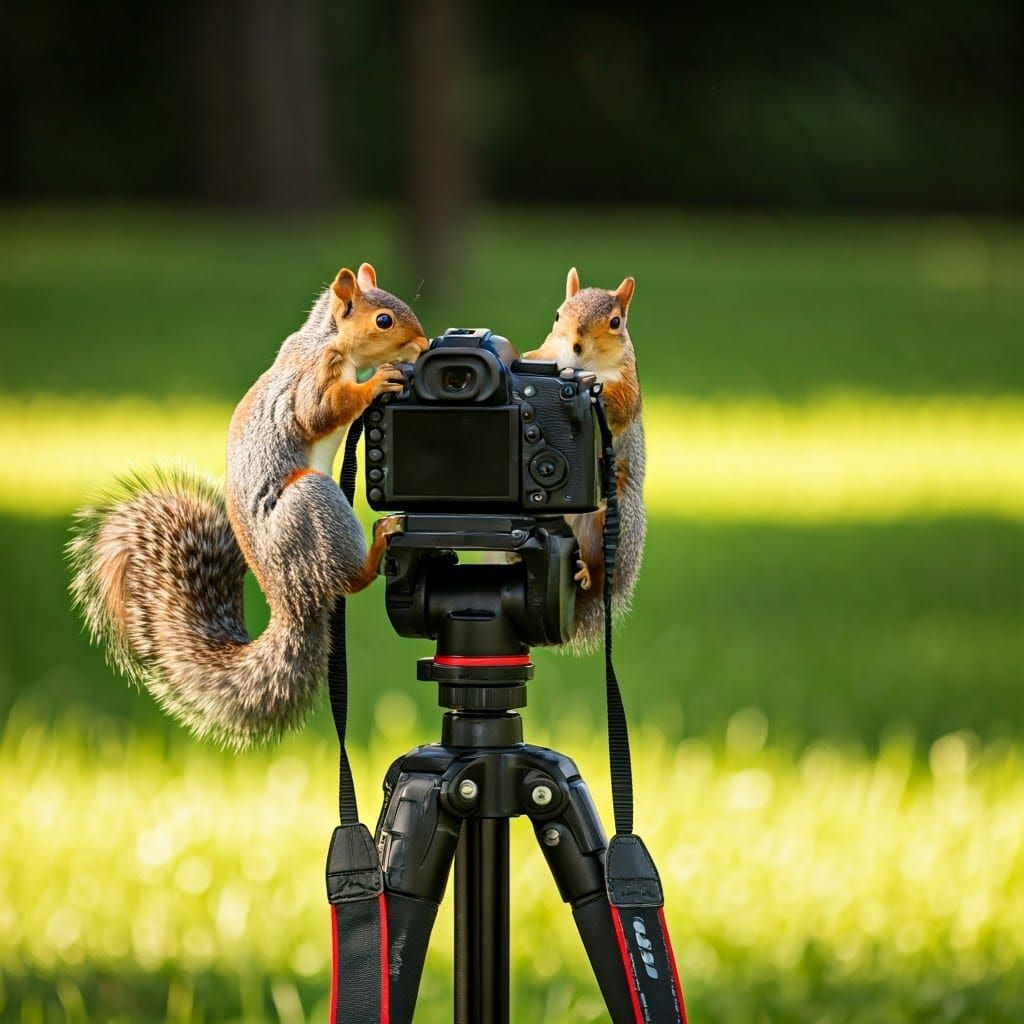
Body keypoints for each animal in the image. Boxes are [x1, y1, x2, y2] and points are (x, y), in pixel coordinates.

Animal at [68, 263, 428, 747]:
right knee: (352, 581)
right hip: (310, 501)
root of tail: (291, 599)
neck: (324, 339)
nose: (423, 344)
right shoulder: (313, 377)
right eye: (384, 320)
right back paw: (380, 538)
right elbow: (318, 412)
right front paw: (379, 381)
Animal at [524, 267, 646, 652]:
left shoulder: (629, 384)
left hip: (617, 518)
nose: (576, 344)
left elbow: (620, 402)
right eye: (558, 315)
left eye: (615, 322)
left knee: (600, 568)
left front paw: (597, 393)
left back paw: (587, 572)